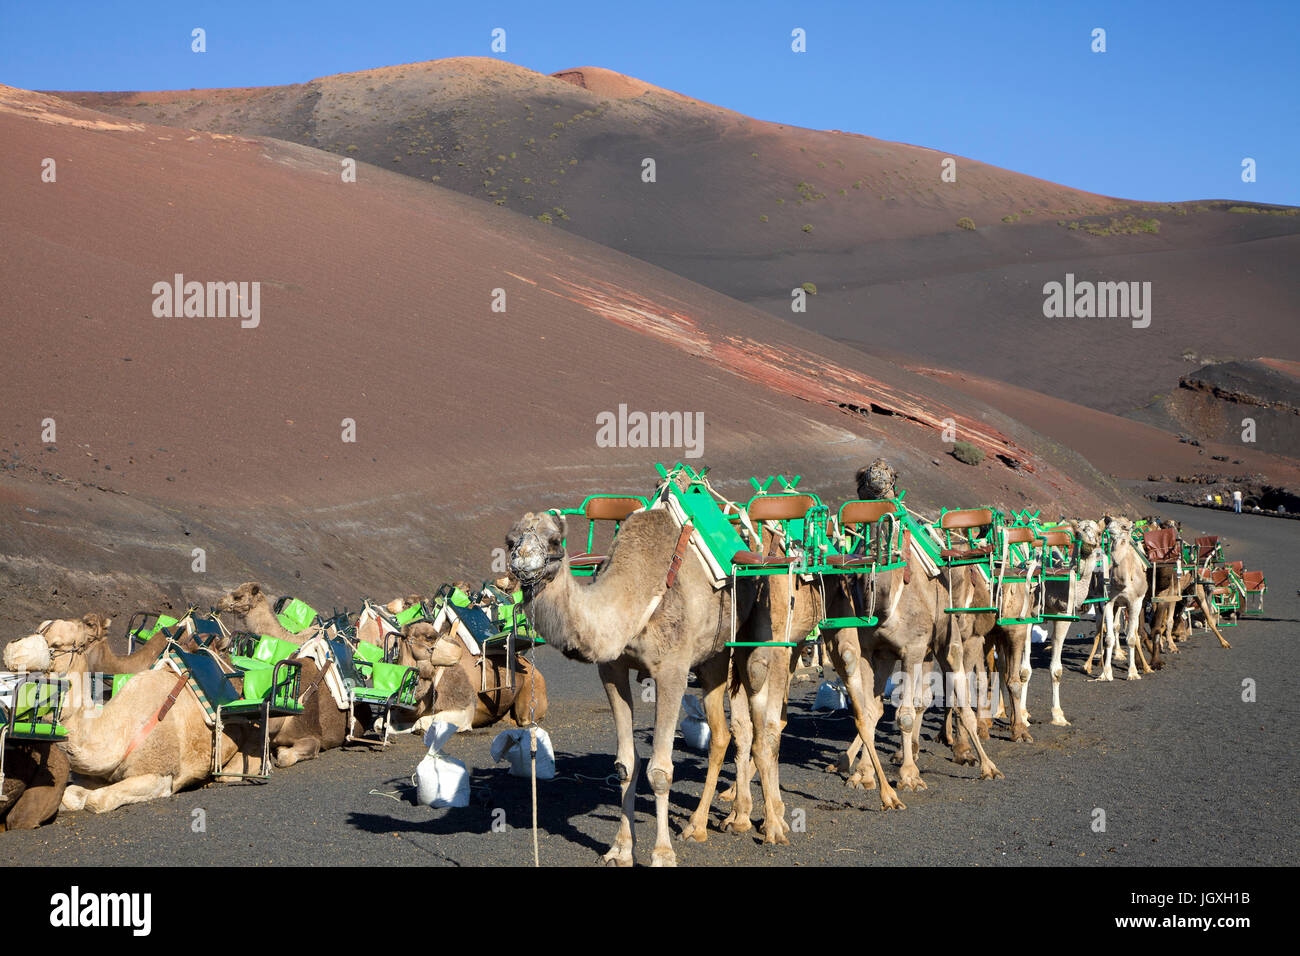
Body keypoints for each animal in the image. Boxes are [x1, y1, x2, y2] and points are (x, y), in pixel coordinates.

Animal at [504, 509, 759, 868]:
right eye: (510, 541)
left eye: (554, 540)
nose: (524, 562)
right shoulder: (612, 669)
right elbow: (626, 764)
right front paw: (620, 849)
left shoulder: (672, 670)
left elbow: (661, 770)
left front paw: (662, 854)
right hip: (714, 657)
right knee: (727, 731)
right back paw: (705, 823)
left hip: (748, 642)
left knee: (760, 721)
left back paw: (745, 819)